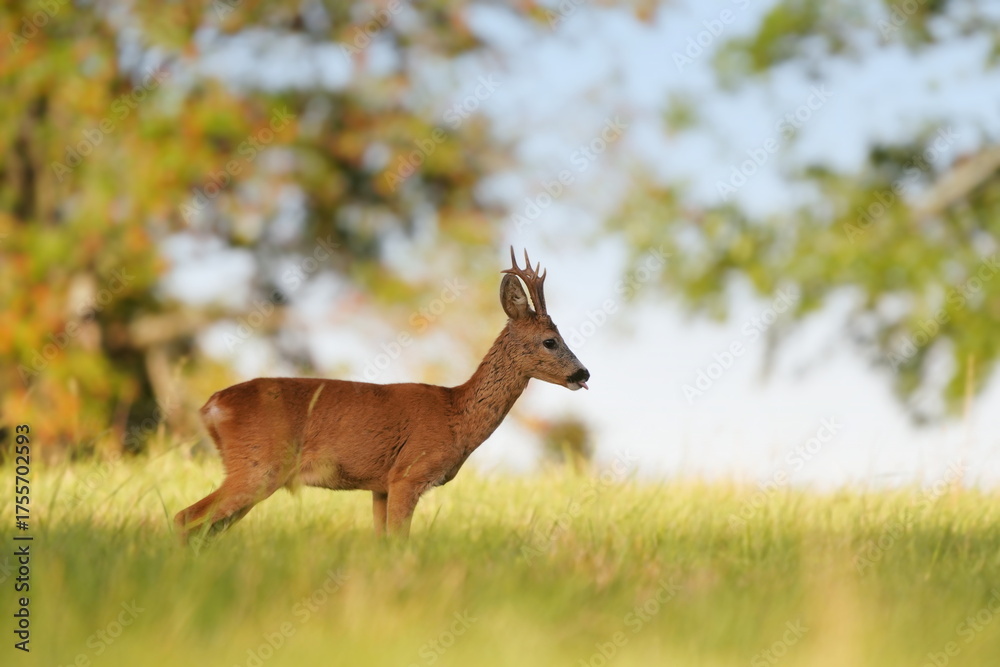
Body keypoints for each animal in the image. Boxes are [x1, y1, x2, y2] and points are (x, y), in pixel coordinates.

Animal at [175, 248, 590, 542]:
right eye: (550, 341)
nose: (583, 373)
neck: (455, 414)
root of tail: (211, 406)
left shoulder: (379, 487)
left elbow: (380, 543)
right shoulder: (408, 475)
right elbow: (399, 543)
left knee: (207, 527)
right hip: (258, 466)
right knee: (185, 518)